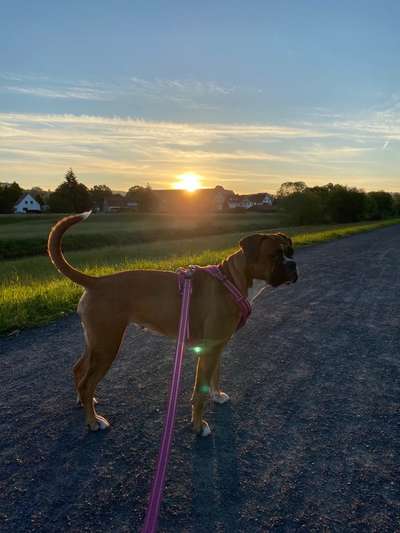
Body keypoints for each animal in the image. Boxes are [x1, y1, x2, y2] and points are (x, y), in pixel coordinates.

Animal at [47, 212, 296, 436]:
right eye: (274, 255)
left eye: (290, 252)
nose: (293, 265)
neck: (232, 280)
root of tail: (97, 281)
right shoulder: (209, 349)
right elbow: (199, 392)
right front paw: (198, 426)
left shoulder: (217, 346)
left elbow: (215, 376)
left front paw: (217, 395)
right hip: (107, 346)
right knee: (87, 383)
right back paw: (93, 421)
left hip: (96, 343)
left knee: (79, 370)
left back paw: (85, 401)